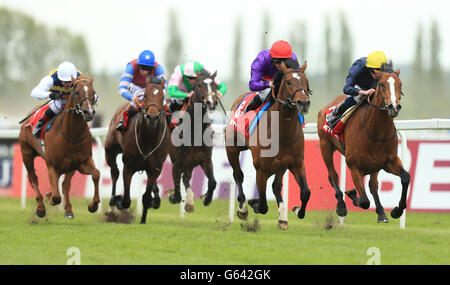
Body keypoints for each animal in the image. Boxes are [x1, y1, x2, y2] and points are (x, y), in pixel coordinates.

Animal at [18, 74, 99, 219]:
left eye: (93, 93)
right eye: (76, 92)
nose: (88, 112)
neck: (71, 133)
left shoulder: (82, 162)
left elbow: (96, 174)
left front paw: (93, 205)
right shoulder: (52, 165)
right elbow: (56, 197)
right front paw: (50, 197)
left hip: (69, 166)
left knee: (65, 184)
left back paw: (68, 210)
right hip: (26, 153)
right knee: (33, 178)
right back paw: (41, 207)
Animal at [104, 76, 170, 223]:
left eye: (162, 97)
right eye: (144, 95)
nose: (152, 117)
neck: (148, 140)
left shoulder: (155, 169)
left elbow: (146, 197)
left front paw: (143, 219)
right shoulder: (128, 166)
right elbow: (126, 200)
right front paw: (118, 201)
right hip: (110, 151)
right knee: (114, 172)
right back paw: (113, 200)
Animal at [167, 70, 220, 212]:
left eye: (214, 85)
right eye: (199, 85)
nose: (211, 103)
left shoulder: (205, 159)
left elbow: (213, 182)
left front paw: (206, 198)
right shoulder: (177, 162)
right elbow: (177, 193)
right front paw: (172, 196)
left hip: (189, 163)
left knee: (186, 178)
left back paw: (190, 202)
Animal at [225, 60, 312, 229]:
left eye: (306, 81)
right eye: (288, 81)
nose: (303, 103)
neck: (282, 133)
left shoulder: (296, 163)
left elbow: (305, 192)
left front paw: (296, 210)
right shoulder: (261, 169)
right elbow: (263, 205)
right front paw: (253, 203)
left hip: (281, 165)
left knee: (276, 186)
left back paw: (283, 218)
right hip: (232, 149)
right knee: (239, 175)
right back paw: (243, 208)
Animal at [318, 69, 410, 222]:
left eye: (400, 84)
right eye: (382, 84)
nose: (394, 107)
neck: (375, 131)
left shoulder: (389, 161)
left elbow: (405, 177)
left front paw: (396, 211)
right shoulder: (354, 166)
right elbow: (364, 202)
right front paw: (352, 194)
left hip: (374, 165)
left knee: (372, 185)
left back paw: (381, 212)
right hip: (325, 146)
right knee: (333, 175)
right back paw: (341, 205)